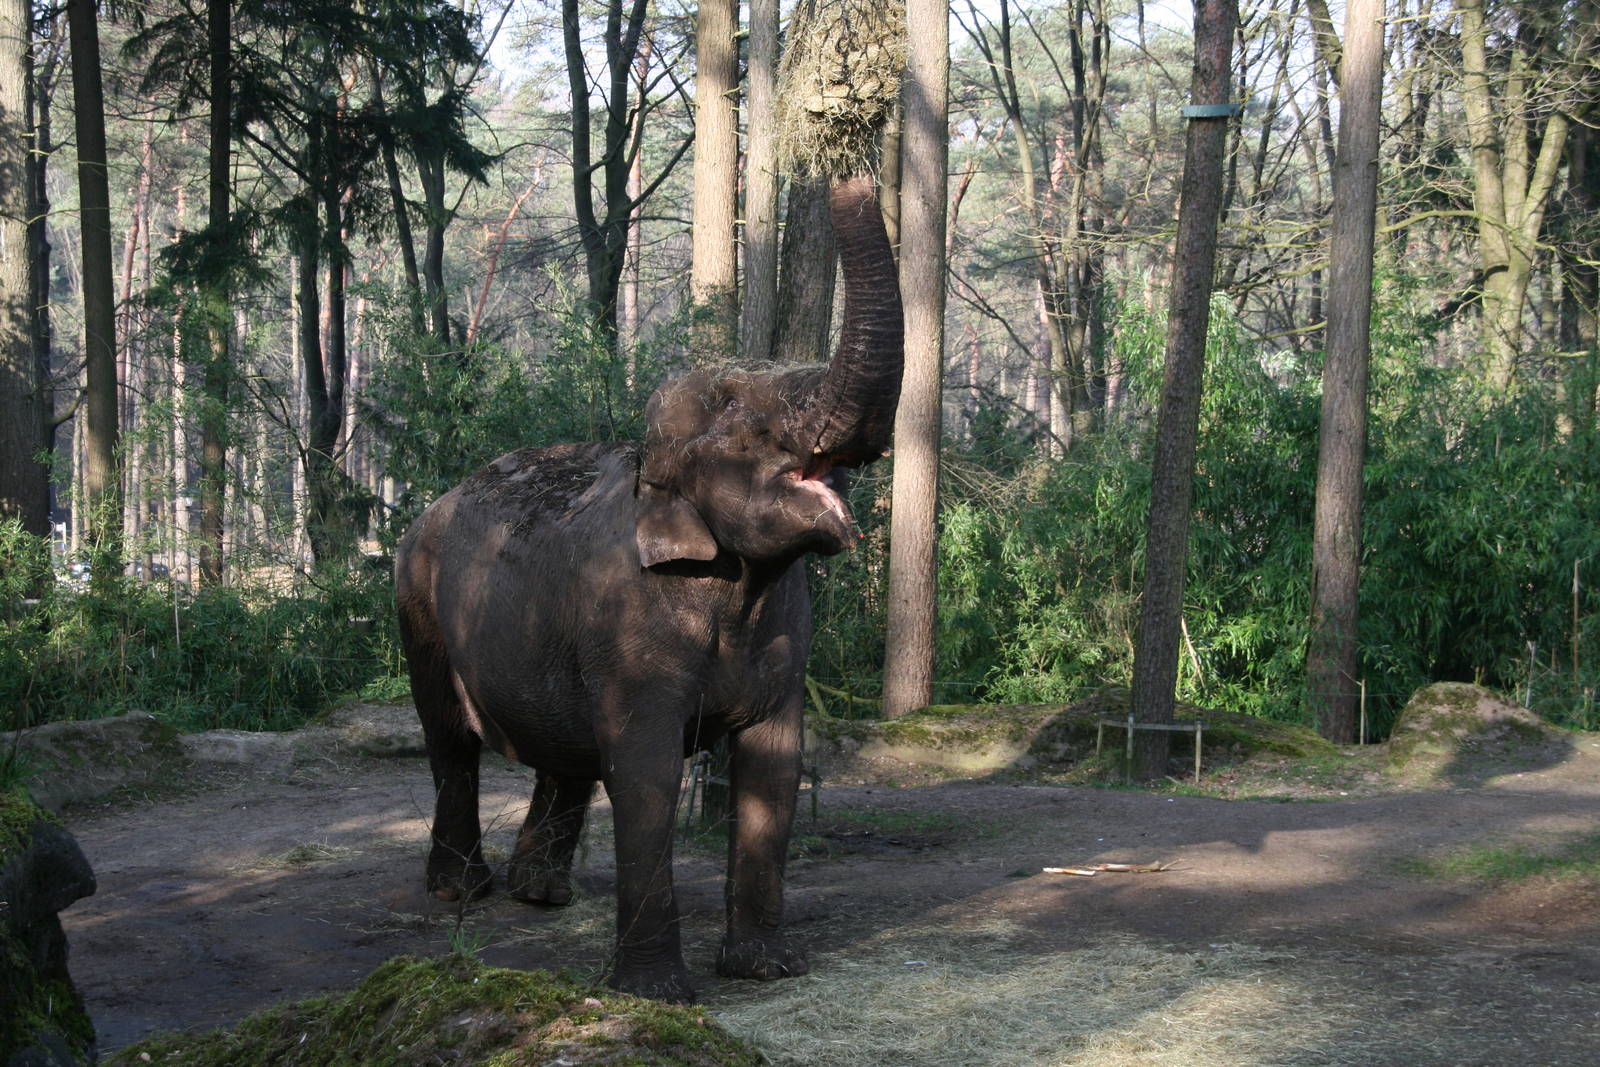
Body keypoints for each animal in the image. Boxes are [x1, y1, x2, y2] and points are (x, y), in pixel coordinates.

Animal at [393, 173, 902, 1003]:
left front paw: (767, 968)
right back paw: (462, 890)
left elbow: (774, 766)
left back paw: (542, 893)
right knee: (449, 739)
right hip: (417, 602)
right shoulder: (631, 626)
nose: (845, 168)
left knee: (560, 750)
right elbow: (646, 772)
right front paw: (659, 993)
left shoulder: (784, 625)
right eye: (736, 410)